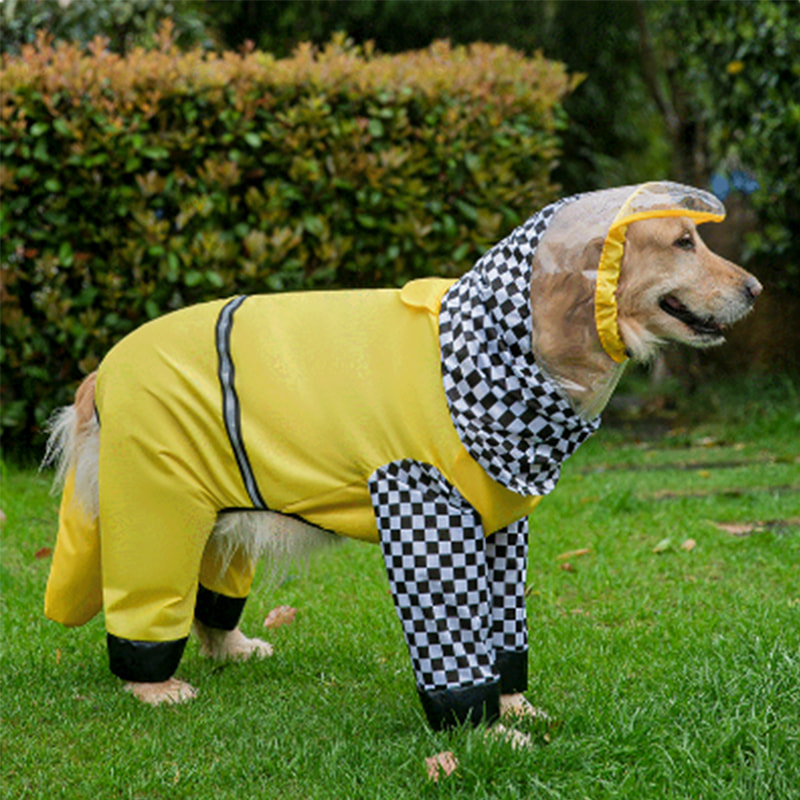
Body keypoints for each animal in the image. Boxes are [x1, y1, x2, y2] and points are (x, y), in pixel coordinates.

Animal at [43, 184, 764, 740]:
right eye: (682, 243)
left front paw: (516, 706)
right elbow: (453, 640)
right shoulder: (425, 513)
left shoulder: (503, 528)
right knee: (145, 601)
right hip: (156, 507)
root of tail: (105, 366)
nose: (758, 289)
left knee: (209, 596)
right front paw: (487, 733)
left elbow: (503, 632)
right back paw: (153, 685)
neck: (497, 349)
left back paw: (233, 647)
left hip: (221, 508)